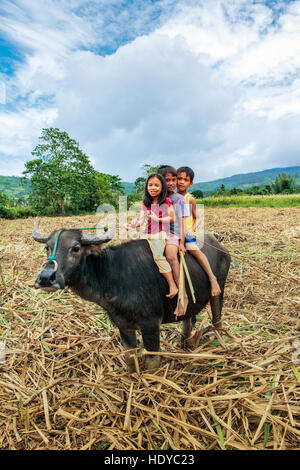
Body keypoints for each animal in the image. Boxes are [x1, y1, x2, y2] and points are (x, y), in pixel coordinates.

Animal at [32, 222, 230, 372]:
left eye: (76, 248)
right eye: (47, 247)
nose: (46, 278)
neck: (112, 275)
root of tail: (219, 245)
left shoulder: (151, 324)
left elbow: (152, 362)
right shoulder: (123, 325)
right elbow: (129, 356)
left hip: (219, 290)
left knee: (217, 319)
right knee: (189, 318)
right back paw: (184, 343)